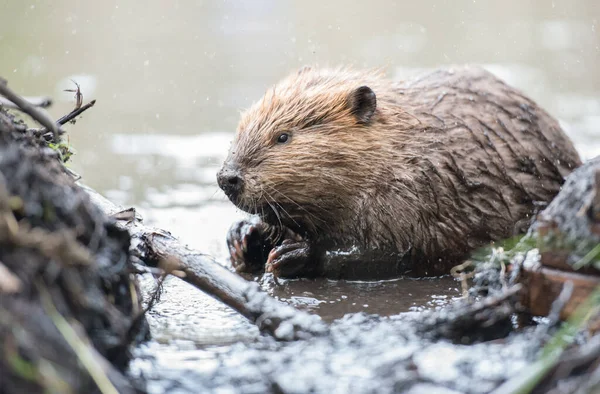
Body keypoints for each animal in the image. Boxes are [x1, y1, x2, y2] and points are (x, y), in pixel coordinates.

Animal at [217, 65, 580, 280]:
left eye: (283, 137)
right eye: (242, 125)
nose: (227, 178)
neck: (404, 146)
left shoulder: (414, 194)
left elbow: (393, 252)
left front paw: (294, 254)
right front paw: (243, 237)